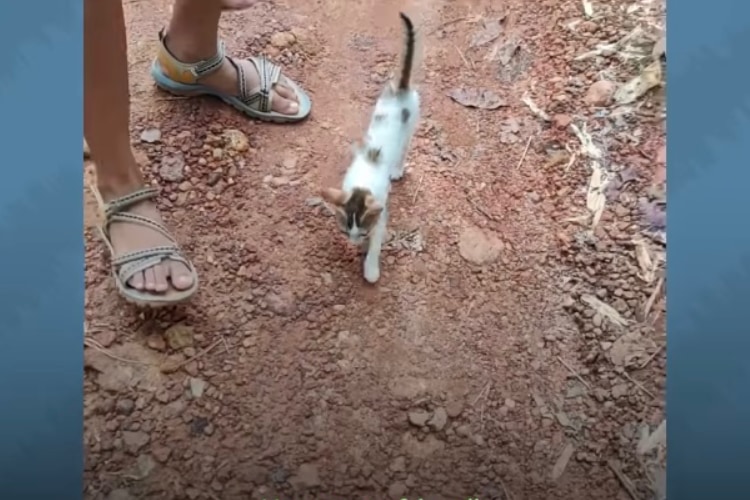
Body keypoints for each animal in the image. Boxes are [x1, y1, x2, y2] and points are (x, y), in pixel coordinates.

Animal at [320, 12, 420, 286]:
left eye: (361, 232)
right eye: (346, 231)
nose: (355, 242)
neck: (361, 187)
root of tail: (401, 89)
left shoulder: (381, 213)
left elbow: (376, 242)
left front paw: (370, 268)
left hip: (411, 126)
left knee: (405, 148)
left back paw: (397, 169)